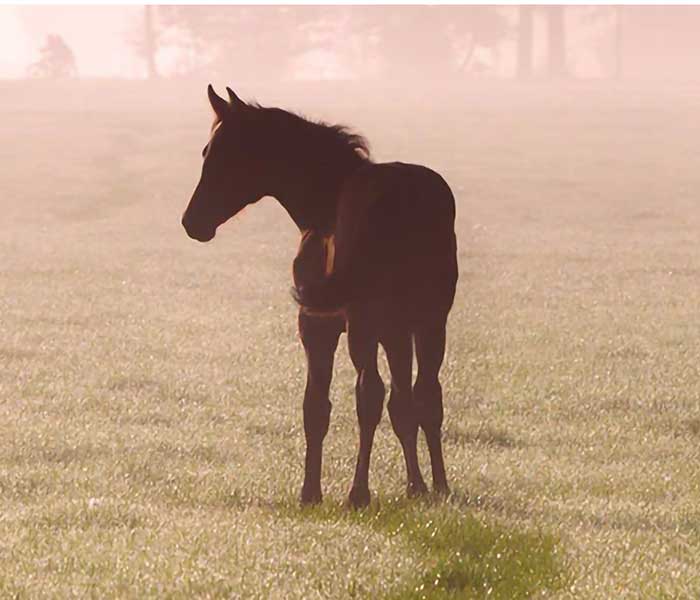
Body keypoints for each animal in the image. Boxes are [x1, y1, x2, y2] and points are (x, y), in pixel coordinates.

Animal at [182, 85, 458, 508]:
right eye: (206, 153)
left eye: (223, 155)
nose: (192, 222)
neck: (328, 206)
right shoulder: (375, 328)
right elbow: (385, 405)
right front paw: (414, 485)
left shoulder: (325, 323)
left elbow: (338, 402)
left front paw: (321, 490)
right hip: (416, 320)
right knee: (418, 394)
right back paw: (429, 486)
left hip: (386, 321)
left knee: (382, 393)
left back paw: (365, 492)